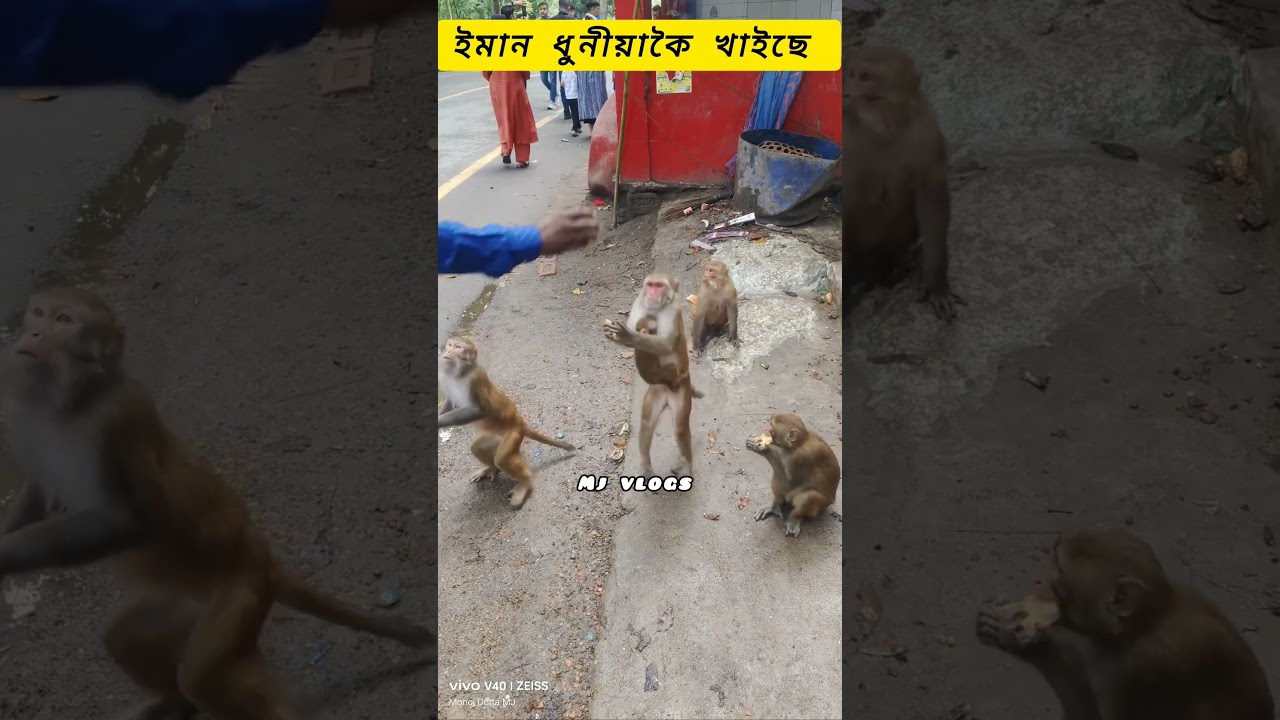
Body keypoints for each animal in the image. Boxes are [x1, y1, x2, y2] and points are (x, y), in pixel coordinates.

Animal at [0, 286, 431, 720]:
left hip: (242, 594)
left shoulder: (115, 421)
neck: (73, 404)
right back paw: (171, 701)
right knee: (124, 637)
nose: (33, 333)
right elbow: (39, 490)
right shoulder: (23, 417)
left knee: (201, 676)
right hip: (180, 597)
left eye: (63, 320)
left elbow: (130, 520)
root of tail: (259, 554)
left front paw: (5, 554)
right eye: (38, 313)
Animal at [437, 336, 576, 510]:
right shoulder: (445, 379)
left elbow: (479, 411)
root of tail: (519, 421)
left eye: (457, 347)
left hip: (514, 434)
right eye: (449, 345)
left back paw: (524, 483)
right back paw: (491, 468)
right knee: (478, 447)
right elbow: (450, 401)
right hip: (495, 434)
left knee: (502, 458)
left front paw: (438, 421)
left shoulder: (475, 379)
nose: (448, 351)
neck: (460, 375)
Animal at [602, 273, 702, 477]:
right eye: (650, 285)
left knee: (680, 427)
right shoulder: (639, 304)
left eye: (659, 286)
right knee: (646, 425)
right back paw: (646, 466)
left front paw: (630, 336)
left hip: (681, 388)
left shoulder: (672, 310)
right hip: (656, 391)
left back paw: (687, 464)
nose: (653, 293)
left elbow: (665, 343)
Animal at [844, 44, 965, 321]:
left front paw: (937, 286)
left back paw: (890, 262)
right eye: (851, 74)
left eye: (865, 77)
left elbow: (932, 200)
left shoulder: (928, 134)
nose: (847, 91)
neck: (883, 125)